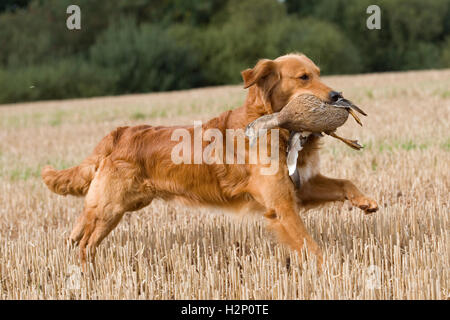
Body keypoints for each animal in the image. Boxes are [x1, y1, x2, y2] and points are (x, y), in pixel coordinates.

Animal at [43, 53, 380, 268]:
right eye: (304, 77)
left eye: (319, 73)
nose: (337, 96)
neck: (277, 125)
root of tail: (120, 132)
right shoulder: (281, 203)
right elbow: (308, 244)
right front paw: (331, 269)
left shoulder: (300, 186)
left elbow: (345, 182)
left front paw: (365, 202)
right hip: (112, 207)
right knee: (87, 242)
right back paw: (86, 273)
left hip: (121, 203)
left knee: (83, 225)